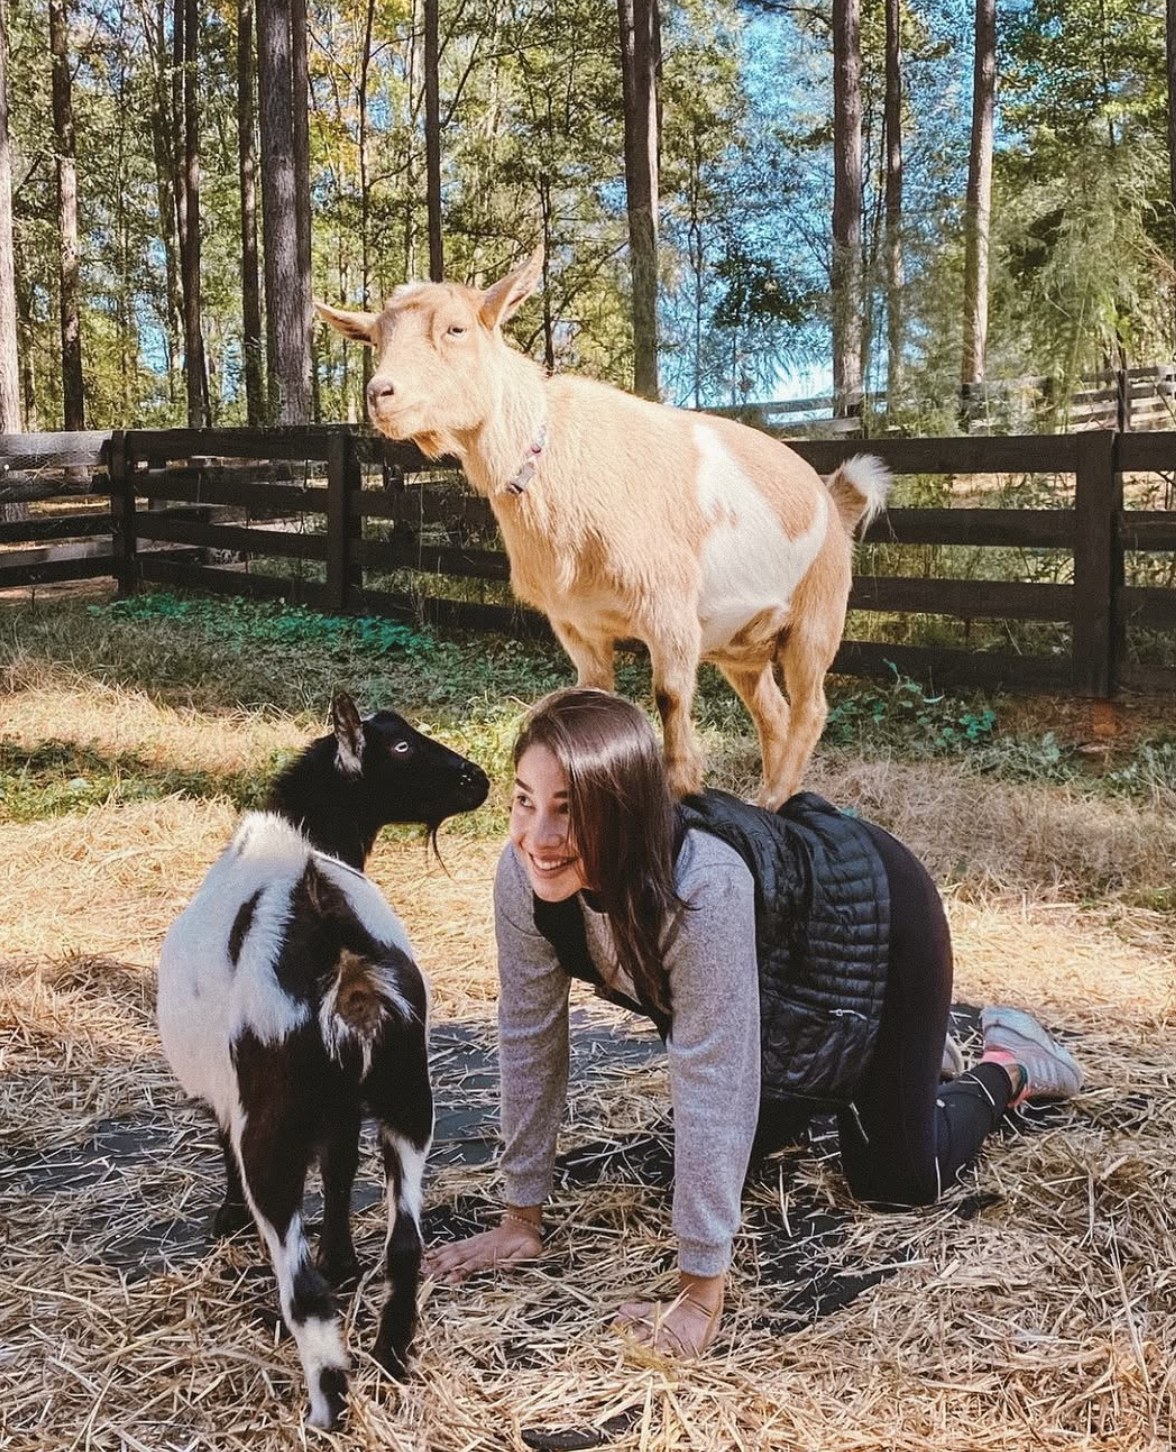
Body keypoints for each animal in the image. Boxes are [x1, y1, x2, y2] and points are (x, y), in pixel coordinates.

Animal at [156, 693, 489, 1429]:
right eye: (399, 746)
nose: (477, 779)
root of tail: (328, 927)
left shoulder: (235, 1101)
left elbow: (233, 1153)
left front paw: (228, 1219)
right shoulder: (345, 1106)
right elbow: (339, 1171)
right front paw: (344, 1259)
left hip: (275, 1125)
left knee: (301, 1285)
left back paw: (327, 1408)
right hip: (408, 1094)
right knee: (406, 1244)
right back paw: (393, 1359)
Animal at [316, 251, 890, 807]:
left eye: (456, 328)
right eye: (375, 338)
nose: (380, 393)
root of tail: (833, 499)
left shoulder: (670, 608)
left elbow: (670, 697)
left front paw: (682, 789)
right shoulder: (577, 622)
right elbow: (594, 701)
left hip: (818, 614)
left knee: (810, 708)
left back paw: (773, 798)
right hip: (741, 642)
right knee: (772, 711)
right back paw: (768, 798)